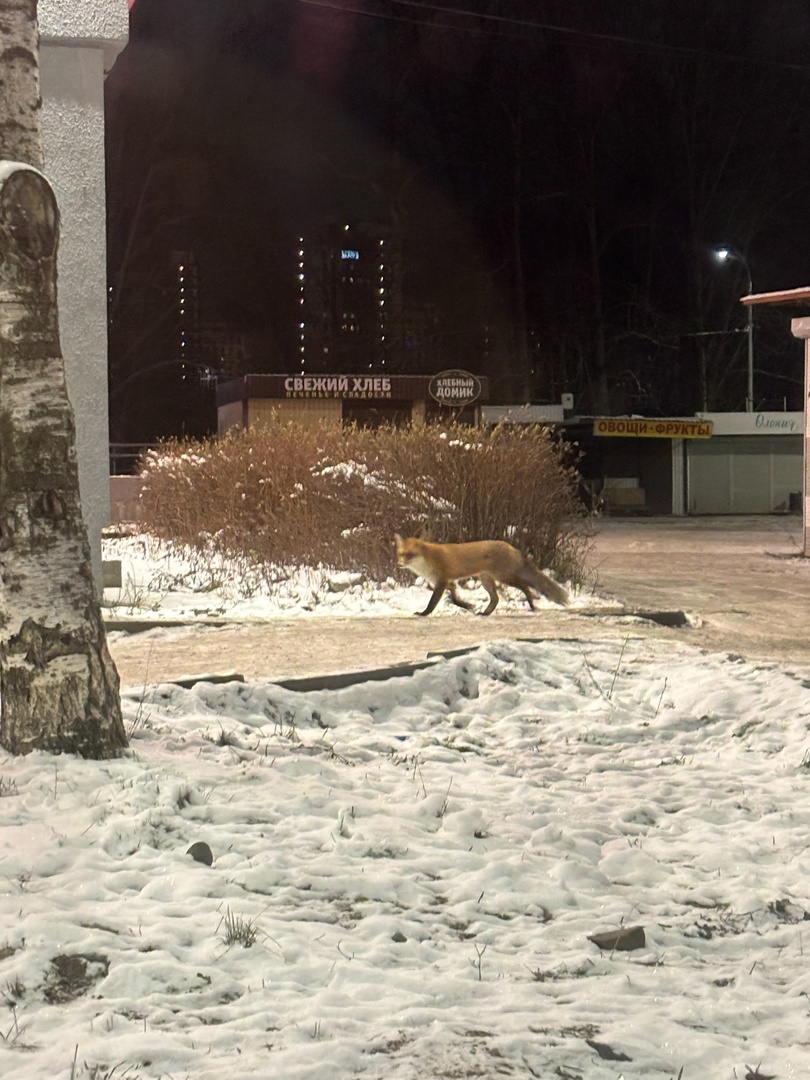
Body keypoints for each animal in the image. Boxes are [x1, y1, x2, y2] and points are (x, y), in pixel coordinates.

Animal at [397, 533, 565, 617]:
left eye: (410, 555)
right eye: (401, 554)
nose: (399, 564)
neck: (427, 562)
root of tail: (511, 547)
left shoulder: (442, 581)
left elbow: (432, 602)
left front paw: (423, 614)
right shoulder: (448, 582)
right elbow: (455, 598)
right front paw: (467, 605)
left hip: (504, 577)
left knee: (525, 587)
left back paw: (531, 605)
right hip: (486, 581)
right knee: (496, 599)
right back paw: (485, 613)